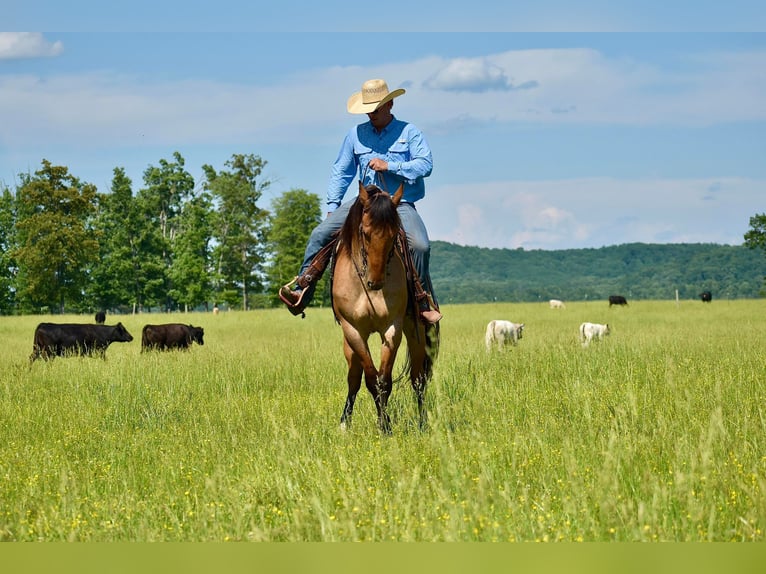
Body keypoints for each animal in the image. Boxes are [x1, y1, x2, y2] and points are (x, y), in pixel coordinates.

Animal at [332, 182, 440, 434]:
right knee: (353, 378)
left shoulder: (393, 328)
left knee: (418, 379)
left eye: (393, 235)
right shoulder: (353, 331)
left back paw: (422, 423)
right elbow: (370, 379)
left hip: (416, 333)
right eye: (365, 232)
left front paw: (385, 425)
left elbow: (384, 380)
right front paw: (382, 423)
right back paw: (345, 423)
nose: (376, 282)